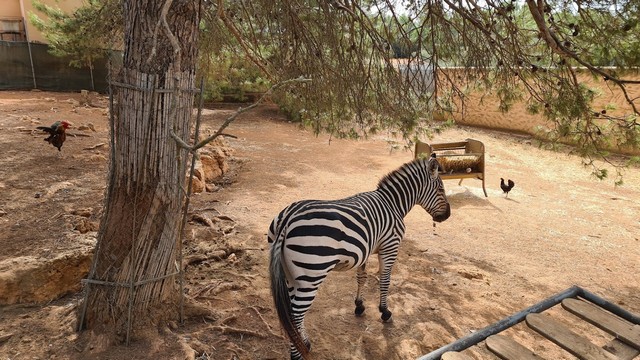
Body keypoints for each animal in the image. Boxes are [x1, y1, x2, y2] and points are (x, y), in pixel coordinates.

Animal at [268, 153, 452, 358]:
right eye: (441, 189)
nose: (447, 215)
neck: (393, 203)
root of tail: (288, 219)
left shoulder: (366, 249)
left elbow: (361, 277)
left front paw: (359, 305)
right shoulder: (390, 246)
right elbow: (385, 280)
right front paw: (384, 311)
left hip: (291, 274)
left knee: (293, 314)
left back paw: (305, 343)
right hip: (310, 276)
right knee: (296, 315)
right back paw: (297, 354)